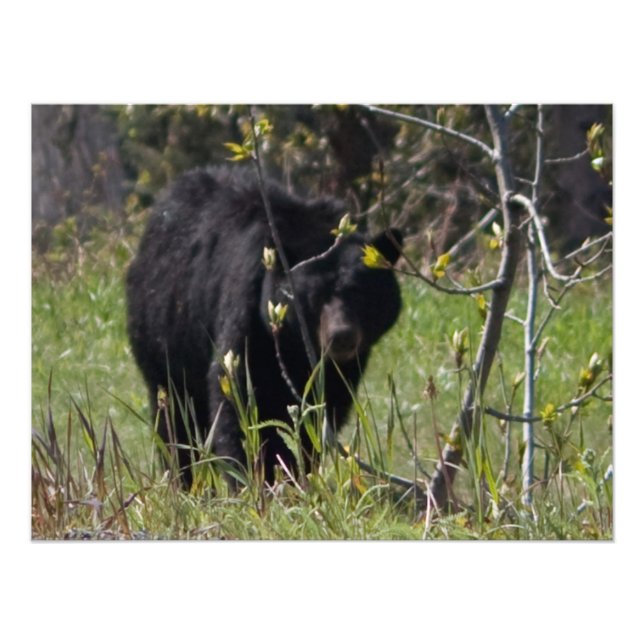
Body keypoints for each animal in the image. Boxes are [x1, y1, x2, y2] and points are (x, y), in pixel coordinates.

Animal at [126, 165, 403, 487]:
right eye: (313, 297)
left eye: (359, 292)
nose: (341, 337)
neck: (294, 346)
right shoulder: (248, 314)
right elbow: (238, 400)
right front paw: (258, 477)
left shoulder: (340, 370)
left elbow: (322, 411)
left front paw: (301, 473)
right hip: (163, 333)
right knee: (174, 414)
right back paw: (184, 479)